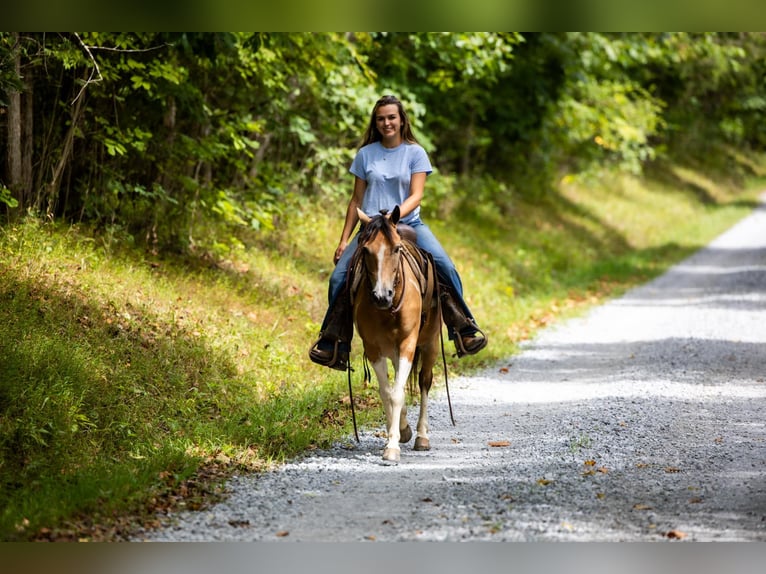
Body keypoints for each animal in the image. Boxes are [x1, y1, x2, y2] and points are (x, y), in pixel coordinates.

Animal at [350, 205, 440, 466]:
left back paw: (422, 436)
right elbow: (386, 393)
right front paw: (396, 433)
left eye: (397, 249)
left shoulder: (408, 344)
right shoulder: (373, 348)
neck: (387, 310)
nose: (382, 296)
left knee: (424, 381)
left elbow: (398, 394)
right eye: (365, 249)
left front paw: (392, 447)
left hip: (430, 344)